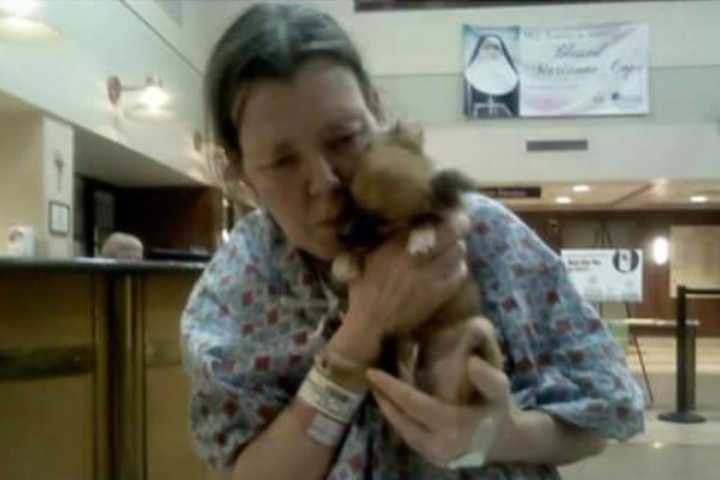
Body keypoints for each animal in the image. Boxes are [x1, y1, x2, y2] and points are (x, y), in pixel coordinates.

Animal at [330, 123, 500, 404]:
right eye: (351, 202)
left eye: (380, 220)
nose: (341, 235)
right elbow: (360, 250)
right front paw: (344, 262)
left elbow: (428, 218)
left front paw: (421, 237)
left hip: (479, 332)